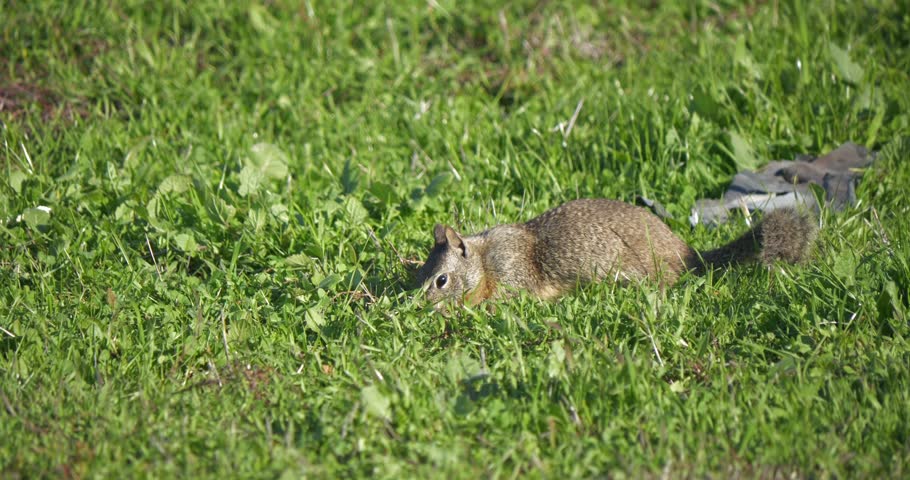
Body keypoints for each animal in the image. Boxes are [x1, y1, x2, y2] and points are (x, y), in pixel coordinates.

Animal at [416, 199, 817, 309]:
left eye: (441, 280)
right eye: (419, 272)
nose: (419, 306)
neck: (484, 260)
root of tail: (687, 255)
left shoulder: (512, 271)